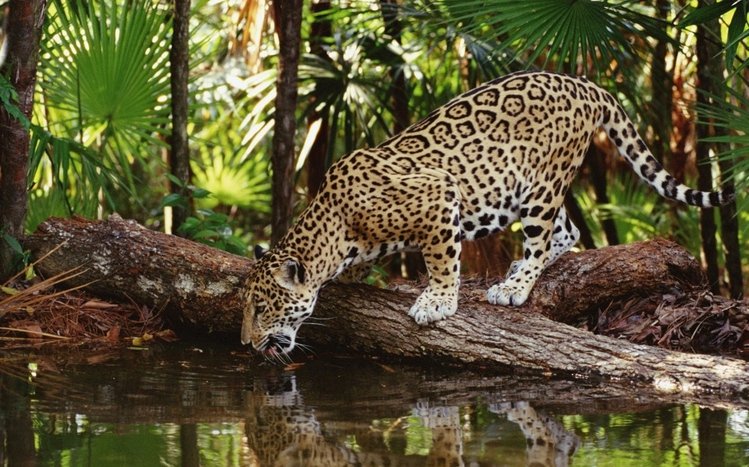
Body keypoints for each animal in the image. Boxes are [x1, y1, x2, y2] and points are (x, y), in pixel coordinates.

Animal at [241, 70, 733, 356]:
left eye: (262, 307)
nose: (247, 343)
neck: (334, 226)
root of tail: (585, 84)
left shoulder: (439, 194)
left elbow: (441, 260)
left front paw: (437, 301)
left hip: (541, 184)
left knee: (543, 236)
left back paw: (514, 286)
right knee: (569, 230)